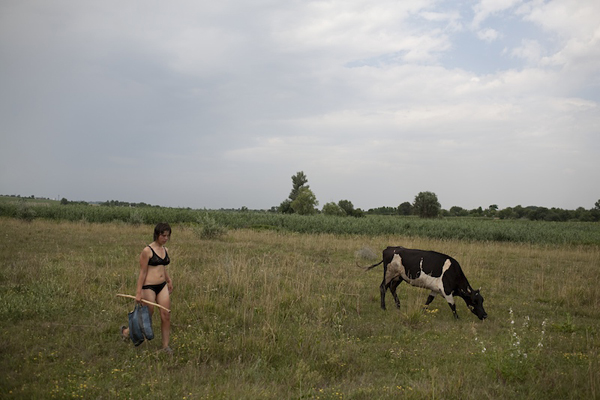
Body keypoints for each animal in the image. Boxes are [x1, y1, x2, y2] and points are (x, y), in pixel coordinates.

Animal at [358, 245, 486, 320]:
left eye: (482, 300)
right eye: (474, 301)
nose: (485, 315)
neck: (453, 272)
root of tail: (389, 248)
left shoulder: (435, 289)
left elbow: (428, 301)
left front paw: (422, 311)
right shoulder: (446, 290)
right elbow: (452, 305)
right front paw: (457, 318)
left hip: (399, 276)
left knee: (392, 288)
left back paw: (398, 306)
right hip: (389, 273)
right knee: (383, 287)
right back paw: (383, 307)